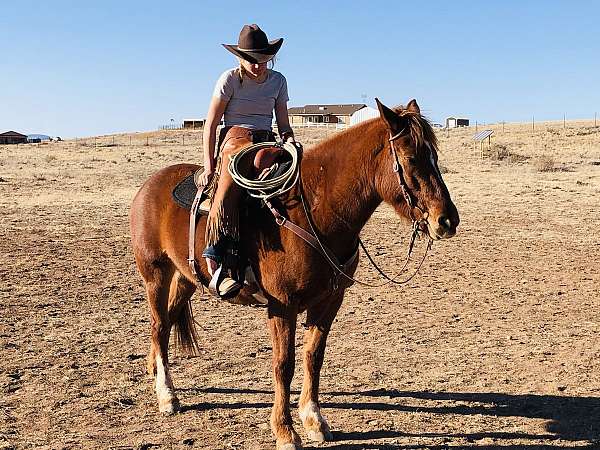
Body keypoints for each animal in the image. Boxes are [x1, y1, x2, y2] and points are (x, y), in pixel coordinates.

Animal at [130, 99, 460, 450]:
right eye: (411, 158)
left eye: (435, 157)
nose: (446, 220)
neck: (313, 210)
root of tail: (150, 183)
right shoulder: (282, 305)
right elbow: (283, 365)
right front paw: (285, 431)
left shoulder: (330, 301)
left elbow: (313, 356)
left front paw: (314, 419)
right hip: (155, 273)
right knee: (159, 325)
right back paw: (166, 396)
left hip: (185, 278)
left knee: (166, 324)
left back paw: (157, 374)